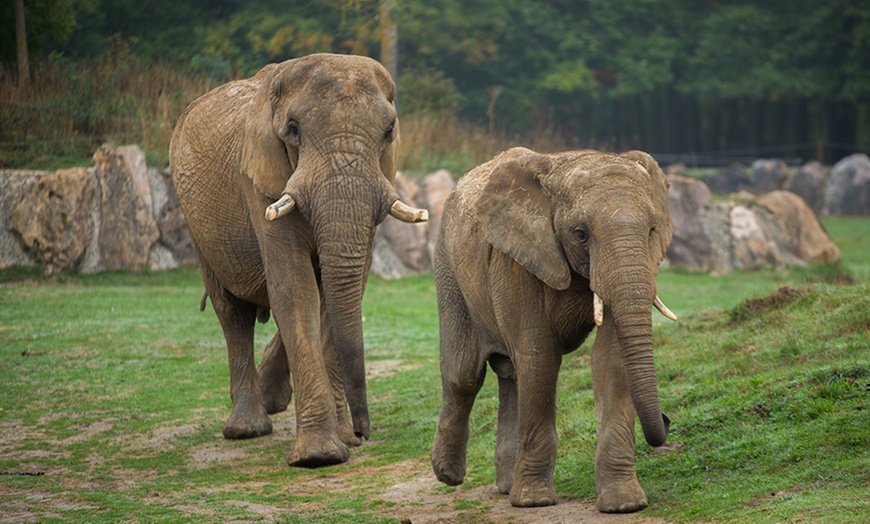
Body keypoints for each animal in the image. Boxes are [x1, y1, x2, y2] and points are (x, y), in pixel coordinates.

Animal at [169, 53, 428, 468]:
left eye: (389, 131)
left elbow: (338, 290)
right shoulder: (260, 180)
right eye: (293, 130)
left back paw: (272, 400)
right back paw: (246, 428)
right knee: (231, 311)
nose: (363, 432)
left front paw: (341, 440)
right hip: (196, 225)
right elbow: (295, 286)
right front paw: (319, 456)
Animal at [432, 146, 676, 512]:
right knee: (464, 375)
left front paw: (624, 504)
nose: (666, 420)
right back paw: (449, 475)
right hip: (447, 265)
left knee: (509, 373)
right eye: (580, 233)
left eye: (651, 231)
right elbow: (539, 356)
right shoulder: (516, 260)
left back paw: (506, 485)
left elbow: (611, 358)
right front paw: (533, 502)